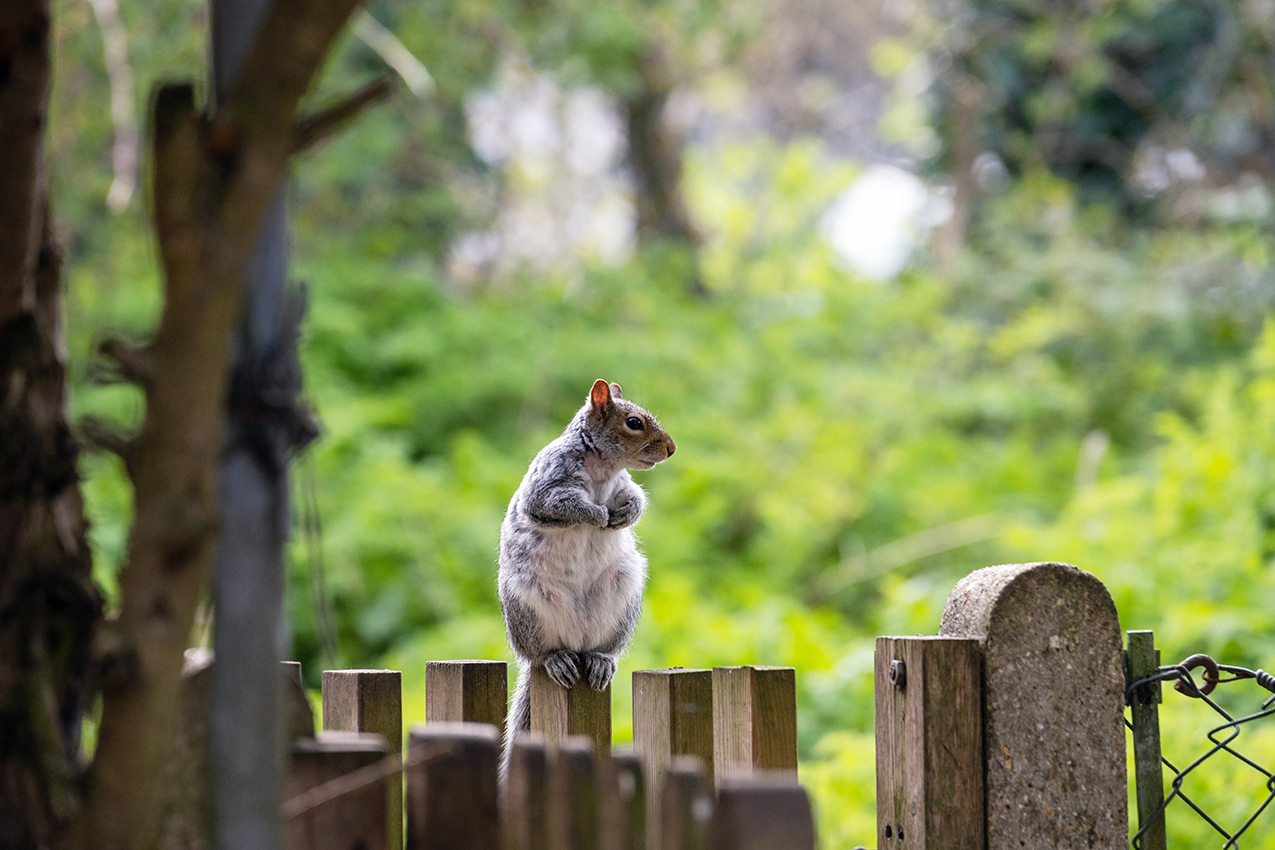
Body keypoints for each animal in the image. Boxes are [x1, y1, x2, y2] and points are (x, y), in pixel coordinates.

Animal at [497, 379, 676, 778]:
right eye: (634, 422)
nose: (671, 448)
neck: (602, 470)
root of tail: (576, 640)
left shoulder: (623, 485)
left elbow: (635, 496)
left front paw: (624, 515)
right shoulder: (547, 485)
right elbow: (562, 504)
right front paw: (596, 515)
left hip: (622, 601)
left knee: (602, 648)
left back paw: (599, 659)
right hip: (525, 608)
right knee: (540, 654)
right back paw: (555, 659)